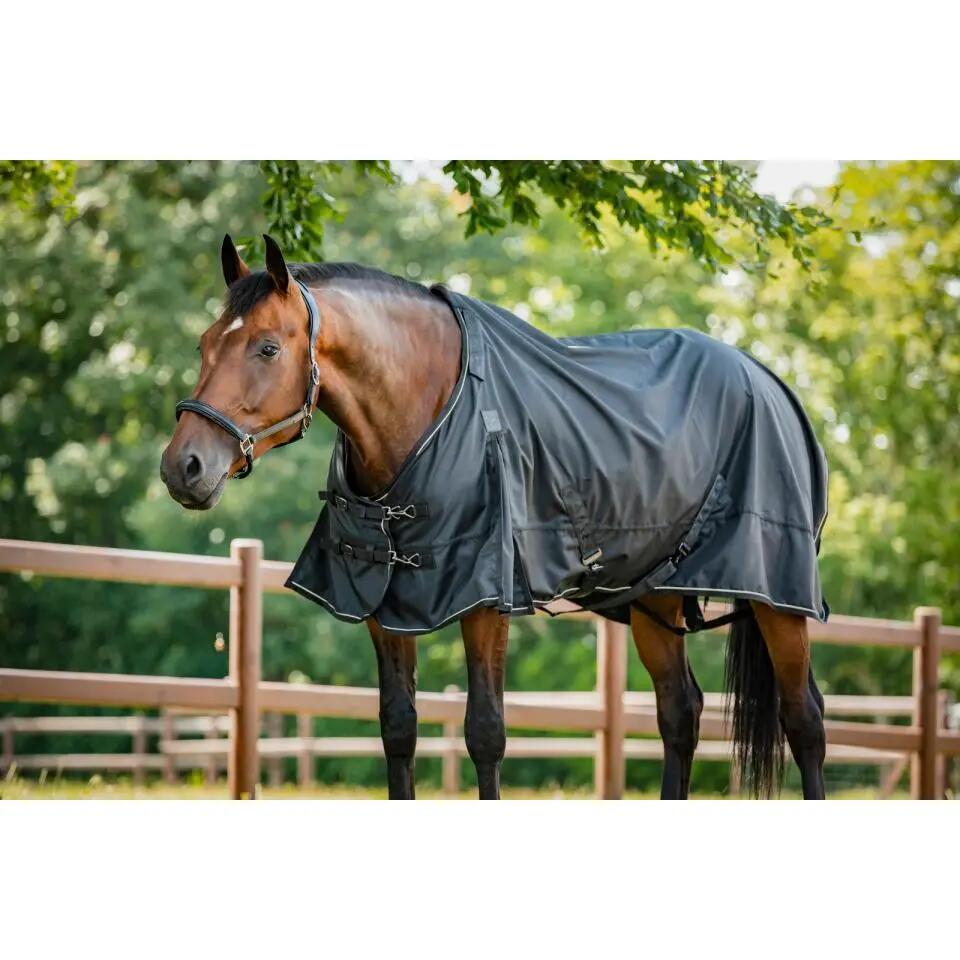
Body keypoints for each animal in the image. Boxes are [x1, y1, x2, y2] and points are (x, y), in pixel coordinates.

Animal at [160, 234, 827, 800]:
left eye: (268, 348)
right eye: (202, 344)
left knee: (805, 719)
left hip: (777, 600)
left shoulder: (485, 600)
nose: (182, 467)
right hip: (654, 599)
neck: (430, 407)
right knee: (679, 714)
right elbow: (397, 729)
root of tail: (768, 379)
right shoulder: (383, 602)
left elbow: (485, 731)